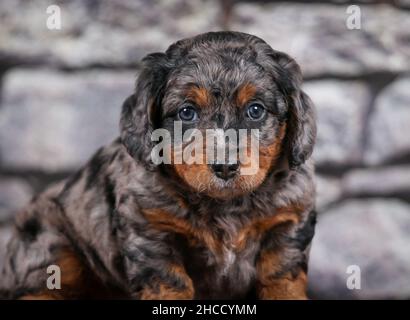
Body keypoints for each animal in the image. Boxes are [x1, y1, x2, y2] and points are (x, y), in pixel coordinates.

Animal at [0, 31, 318, 300]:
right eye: (187, 112)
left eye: (255, 110)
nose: (225, 167)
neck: (225, 206)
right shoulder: (149, 227)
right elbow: (170, 282)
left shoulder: (289, 220)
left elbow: (280, 278)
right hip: (49, 244)